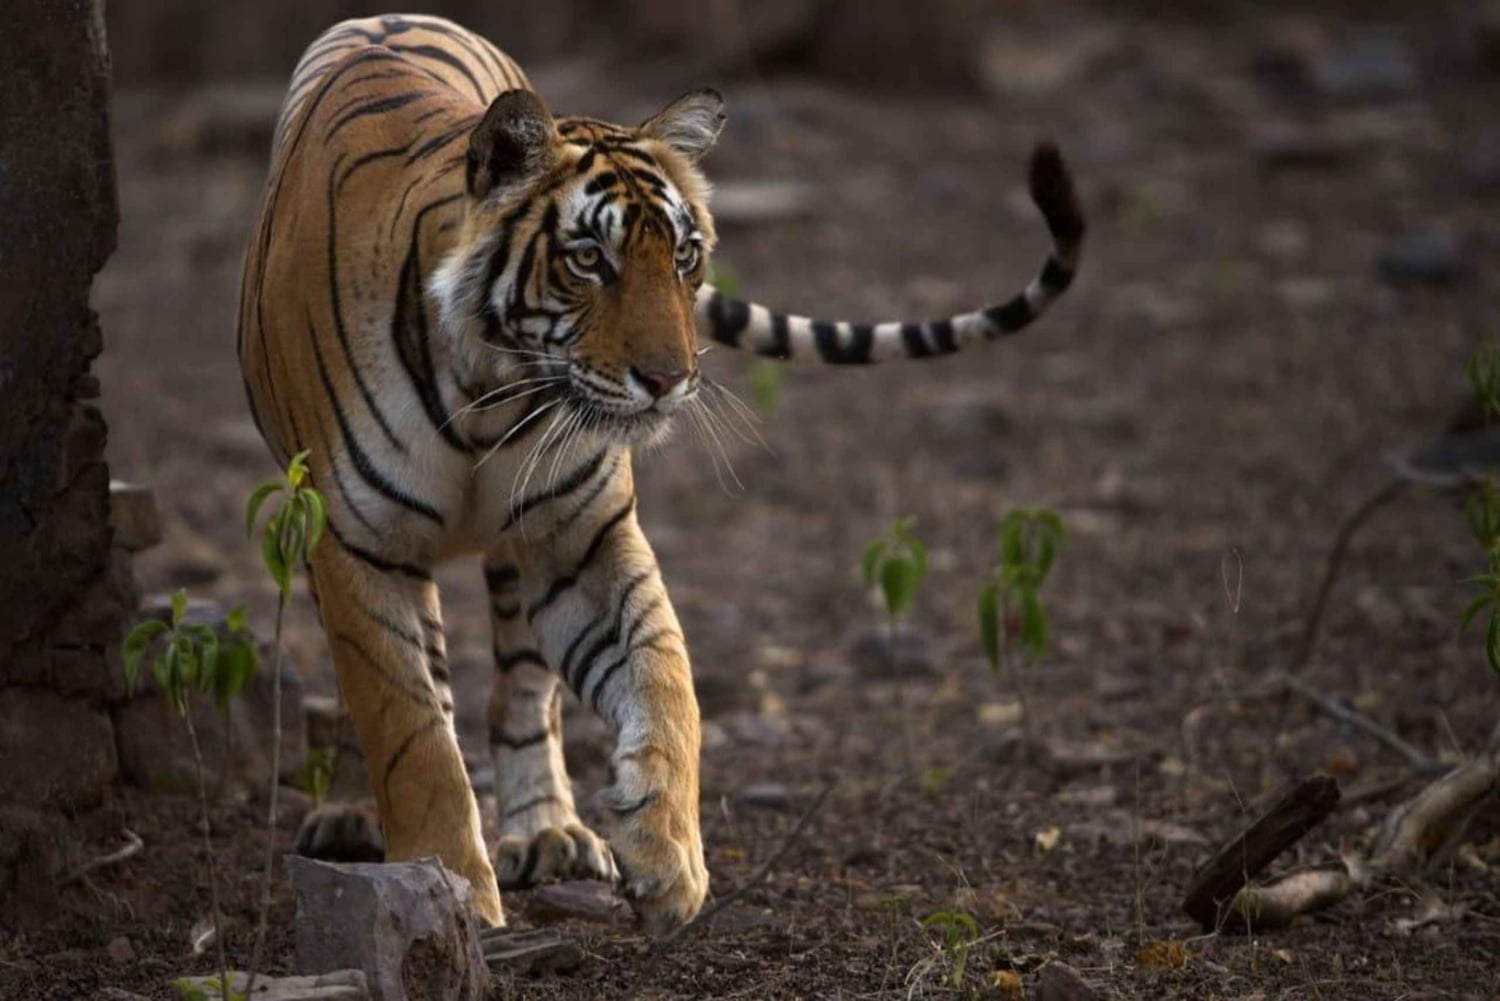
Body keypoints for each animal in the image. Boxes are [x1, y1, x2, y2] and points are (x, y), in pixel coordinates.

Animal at [237, 13, 1084, 935]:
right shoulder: (359, 547)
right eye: (587, 259)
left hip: (518, 555)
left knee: (522, 689)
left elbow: (667, 678)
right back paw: (359, 814)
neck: (490, 391)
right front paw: (453, 887)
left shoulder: (579, 540)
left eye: (684, 254)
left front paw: (667, 856)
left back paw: (549, 831)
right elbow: (408, 727)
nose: (671, 377)